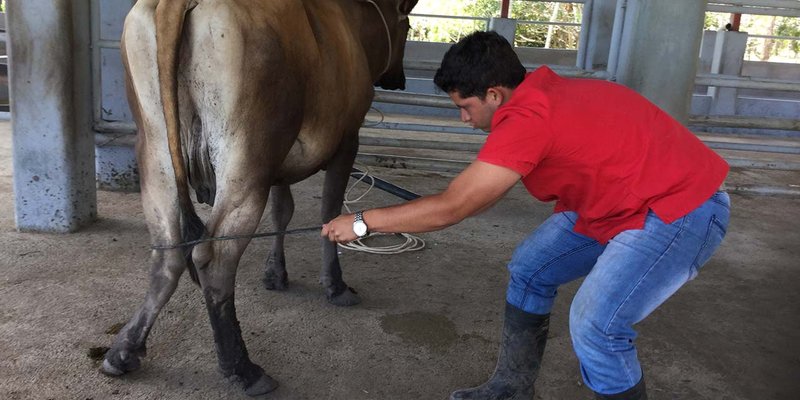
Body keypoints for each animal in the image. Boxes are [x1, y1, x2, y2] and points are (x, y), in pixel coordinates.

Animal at [100, 0, 418, 396]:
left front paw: (275, 274)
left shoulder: (279, 166)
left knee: (168, 252)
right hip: (246, 159)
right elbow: (329, 210)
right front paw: (335, 285)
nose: (399, 79)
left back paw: (123, 352)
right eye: (408, 27)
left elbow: (282, 212)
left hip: (156, 152)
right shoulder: (347, 140)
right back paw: (242, 368)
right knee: (213, 258)